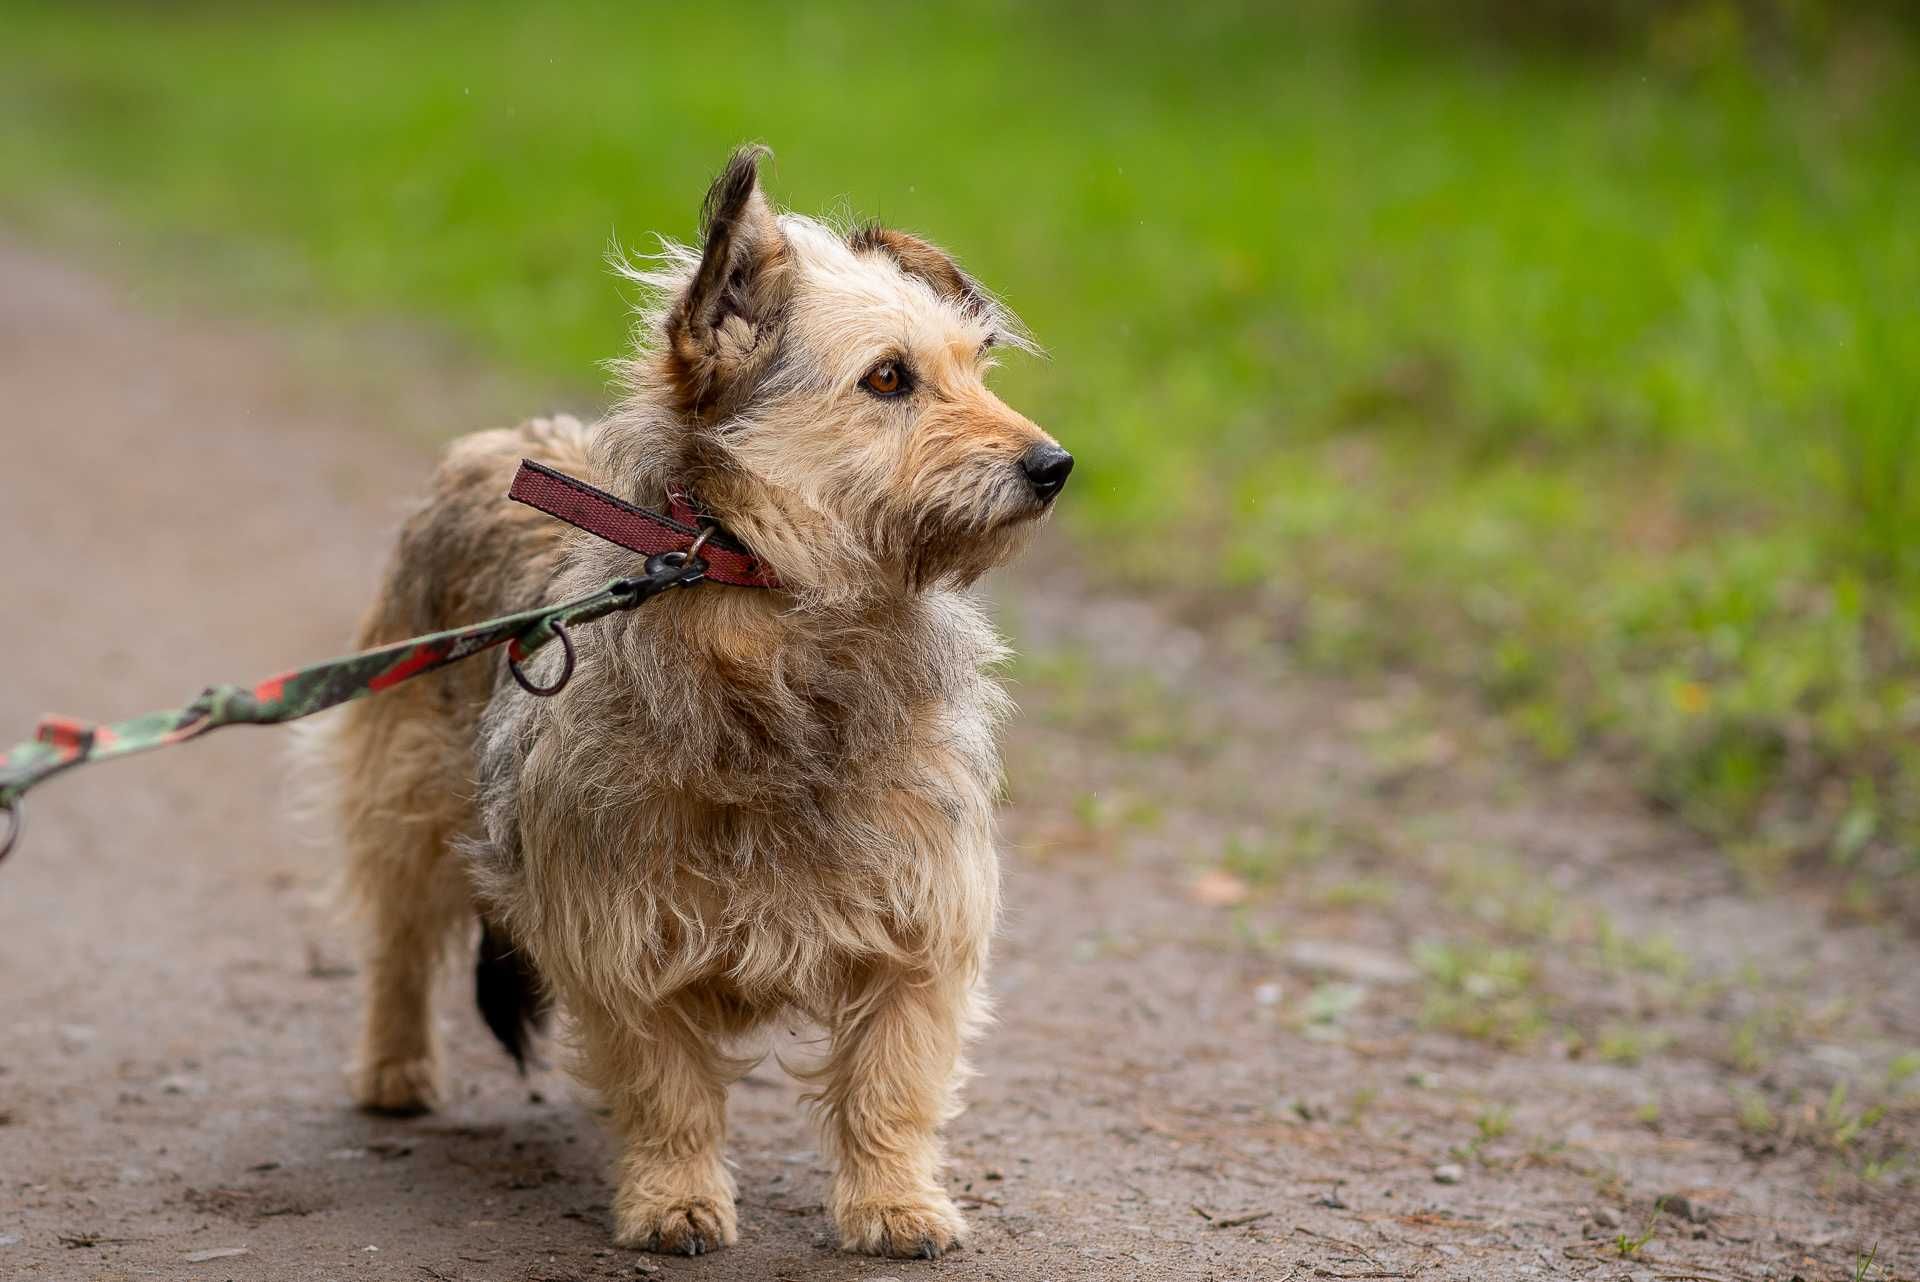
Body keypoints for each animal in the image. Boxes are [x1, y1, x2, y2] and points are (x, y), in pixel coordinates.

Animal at [314, 144, 1067, 1258]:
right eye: (889, 378)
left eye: (977, 367)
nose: (1055, 466)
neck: (782, 622)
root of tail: (486, 445)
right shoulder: (619, 922)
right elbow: (665, 1082)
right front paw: (674, 1196)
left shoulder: (924, 915)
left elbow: (891, 1079)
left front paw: (894, 1201)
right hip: (404, 799)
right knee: (401, 942)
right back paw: (395, 1069)